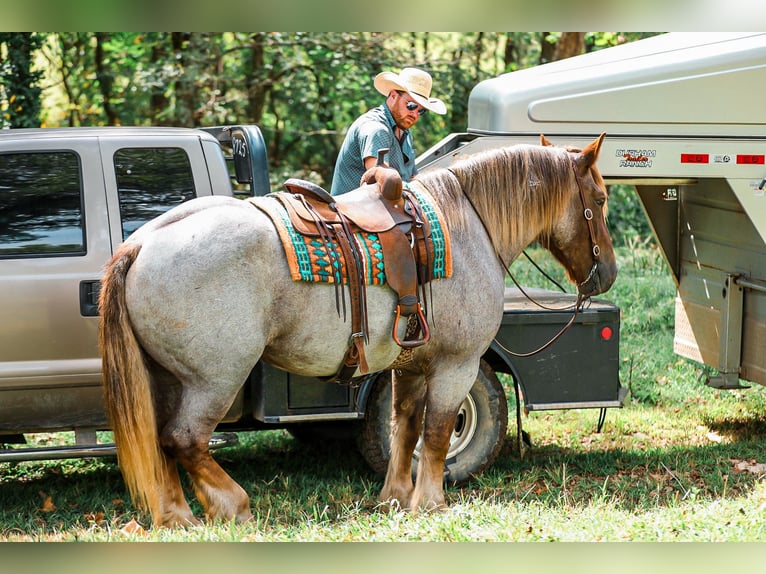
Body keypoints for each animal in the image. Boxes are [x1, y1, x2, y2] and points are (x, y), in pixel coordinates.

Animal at [98, 133, 617, 527]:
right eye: (600, 199)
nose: (607, 273)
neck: (470, 224)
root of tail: (142, 244)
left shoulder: (410, 364)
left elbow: (404, 427)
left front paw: (395, 497)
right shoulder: (457, 364)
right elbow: (437, 432)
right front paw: (431, 502)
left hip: (165, 378)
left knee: (160, 443)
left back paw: (176, 515)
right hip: (215, 379)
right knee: (184, 439)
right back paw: (232, 505)